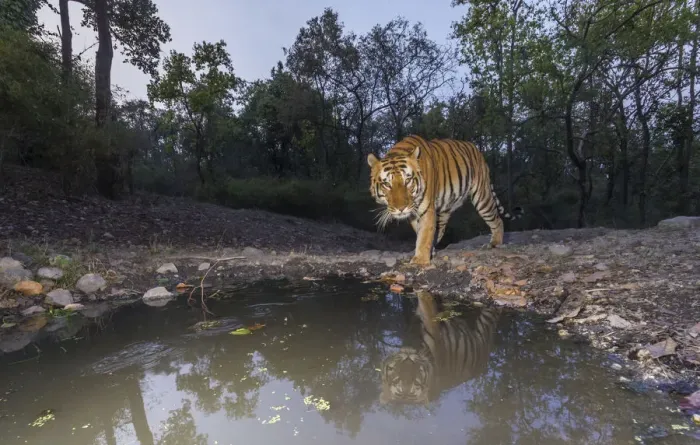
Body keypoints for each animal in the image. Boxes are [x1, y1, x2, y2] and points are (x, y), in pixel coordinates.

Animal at [367, 135, 523, 266]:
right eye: (387, 184)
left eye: (408, 180)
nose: (401, 208)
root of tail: (478, 151)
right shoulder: (415, 214)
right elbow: (422, 233)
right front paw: (427, 253)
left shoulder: (426, 209)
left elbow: (424, 235)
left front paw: (420, 260)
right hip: (445, 210)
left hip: (482, 197)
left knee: (498, 220)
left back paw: (495, 243)